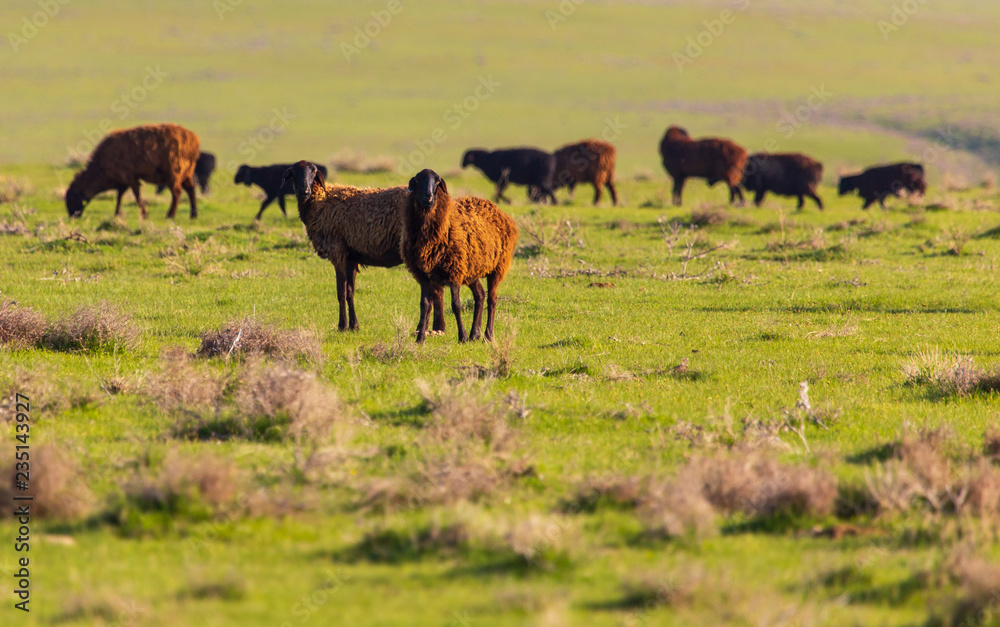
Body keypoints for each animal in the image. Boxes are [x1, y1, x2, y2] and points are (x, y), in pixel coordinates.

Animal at [66, 123, 201, 221]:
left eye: (72, 197)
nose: (72, 216)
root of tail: (194, 140)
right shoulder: (123, 181)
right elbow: (120, 196)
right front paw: (117, 213)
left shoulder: (130, 178)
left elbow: (136, 195)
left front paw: (144, 214)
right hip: (187, 173)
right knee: (191, 190)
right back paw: (193, 215)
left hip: (173, 173)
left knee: (176, 192)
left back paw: (170, 215)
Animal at [278, 162, 442, 334]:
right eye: (294, 172)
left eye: (314, 171)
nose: (304, 191)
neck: (320, 202)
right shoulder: (351, 258)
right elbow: (350, 292)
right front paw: (354, 325)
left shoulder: (337, 251)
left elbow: (341, 292)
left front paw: (342, 326)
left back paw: (425, 329)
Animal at [402, 168, 520, 344]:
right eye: (417, 180)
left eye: (437, 182)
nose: (428, 198)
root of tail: (502, 213)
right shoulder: (423, 274)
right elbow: (425, 305)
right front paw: (420, 338)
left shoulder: (454, 271)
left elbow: (455, 305)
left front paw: (462, 336)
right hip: (472, 269)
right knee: (480, 295)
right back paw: (475, 334)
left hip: (498, 267)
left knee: (492, 299)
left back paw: (487, 336)